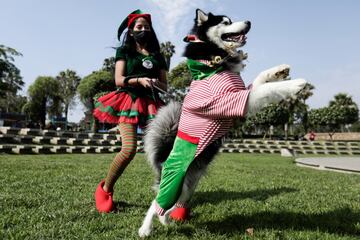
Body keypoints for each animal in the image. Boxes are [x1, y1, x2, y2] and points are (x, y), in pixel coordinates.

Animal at [139, 8, 306, 236]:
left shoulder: (242, 93)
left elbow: (261, 79)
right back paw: (145, 230)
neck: (212, 59)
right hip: (174, 183)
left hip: (187, 186)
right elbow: (267, 89)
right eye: (225, 22)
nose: (249, 22)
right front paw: (295, 84)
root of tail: (161, 156)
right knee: (155, 203)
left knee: (165, 207)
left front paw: (279, 71)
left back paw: (166, 223)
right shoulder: (234, 100)